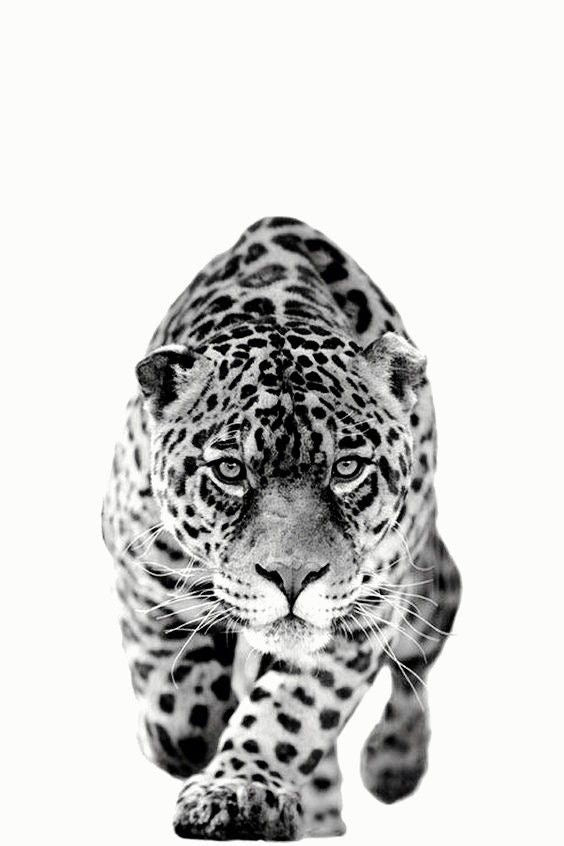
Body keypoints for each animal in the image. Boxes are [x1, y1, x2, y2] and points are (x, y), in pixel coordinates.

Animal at [102, 216, 461, 840]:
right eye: (230, 470)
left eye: (348, 468)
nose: (292, 578)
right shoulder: (133, 556)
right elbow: (178, 703)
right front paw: (188, 731)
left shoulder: (365, 610)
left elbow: (292, 710)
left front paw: (239, 790)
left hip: (426, 589)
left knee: (422, 653)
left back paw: (392, 764)